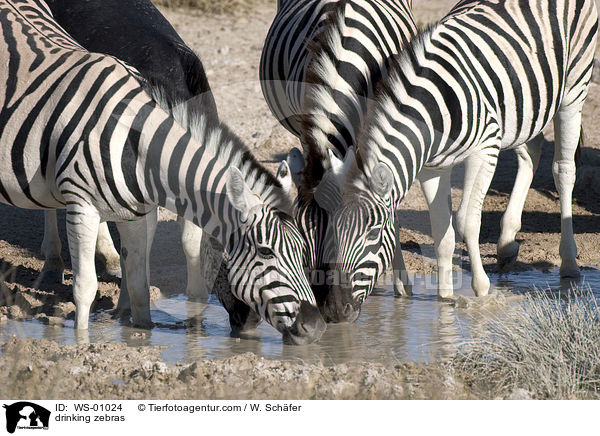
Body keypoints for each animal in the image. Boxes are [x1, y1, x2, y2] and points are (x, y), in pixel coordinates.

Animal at [326, 0, 596, 310]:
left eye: (372, 236)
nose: (338, 306)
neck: (434, 112)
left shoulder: (485, 148)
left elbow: (465, 221)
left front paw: (481, 288)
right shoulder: (432, 168)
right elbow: (442, 231)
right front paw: (445, 299)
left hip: (574, 85)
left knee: (563, 170)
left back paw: (569, 263)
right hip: (525, 104)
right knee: (531, 148)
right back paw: (506, 243)